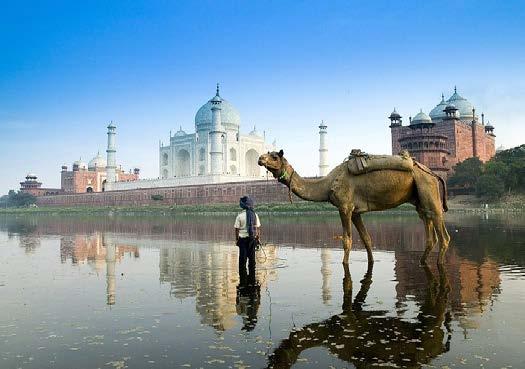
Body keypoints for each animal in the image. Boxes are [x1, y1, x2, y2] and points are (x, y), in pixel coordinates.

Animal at [258, 150, 450, 264]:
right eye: (266, 154)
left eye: (274, 156)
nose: (260, 159)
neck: (328, 184)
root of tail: (433, 173)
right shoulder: (356, 212)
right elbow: (366, 239)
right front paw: (371, 262)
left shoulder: (344, 207)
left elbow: (347, 240)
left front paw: (345, 263)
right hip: (419, 200)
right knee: (429, 229)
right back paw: (422, 261)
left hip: (428, 188)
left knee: (443, 234)